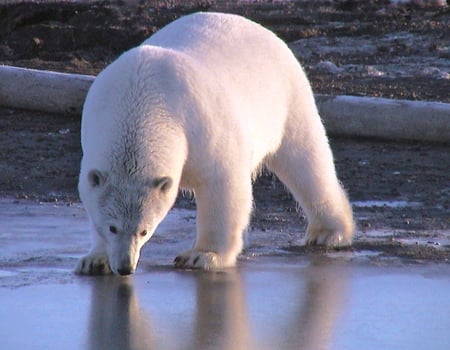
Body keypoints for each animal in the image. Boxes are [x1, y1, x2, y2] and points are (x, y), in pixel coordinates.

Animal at [74, 12, 356, 276]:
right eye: (112, 227)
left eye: (145, 230)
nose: (125, 267)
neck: (142, 98)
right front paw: (95, 260)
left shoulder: (200, 125)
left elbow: (222, 184)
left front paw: (201, 256)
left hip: (287, 100)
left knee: (306, 160)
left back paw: (329, 232)